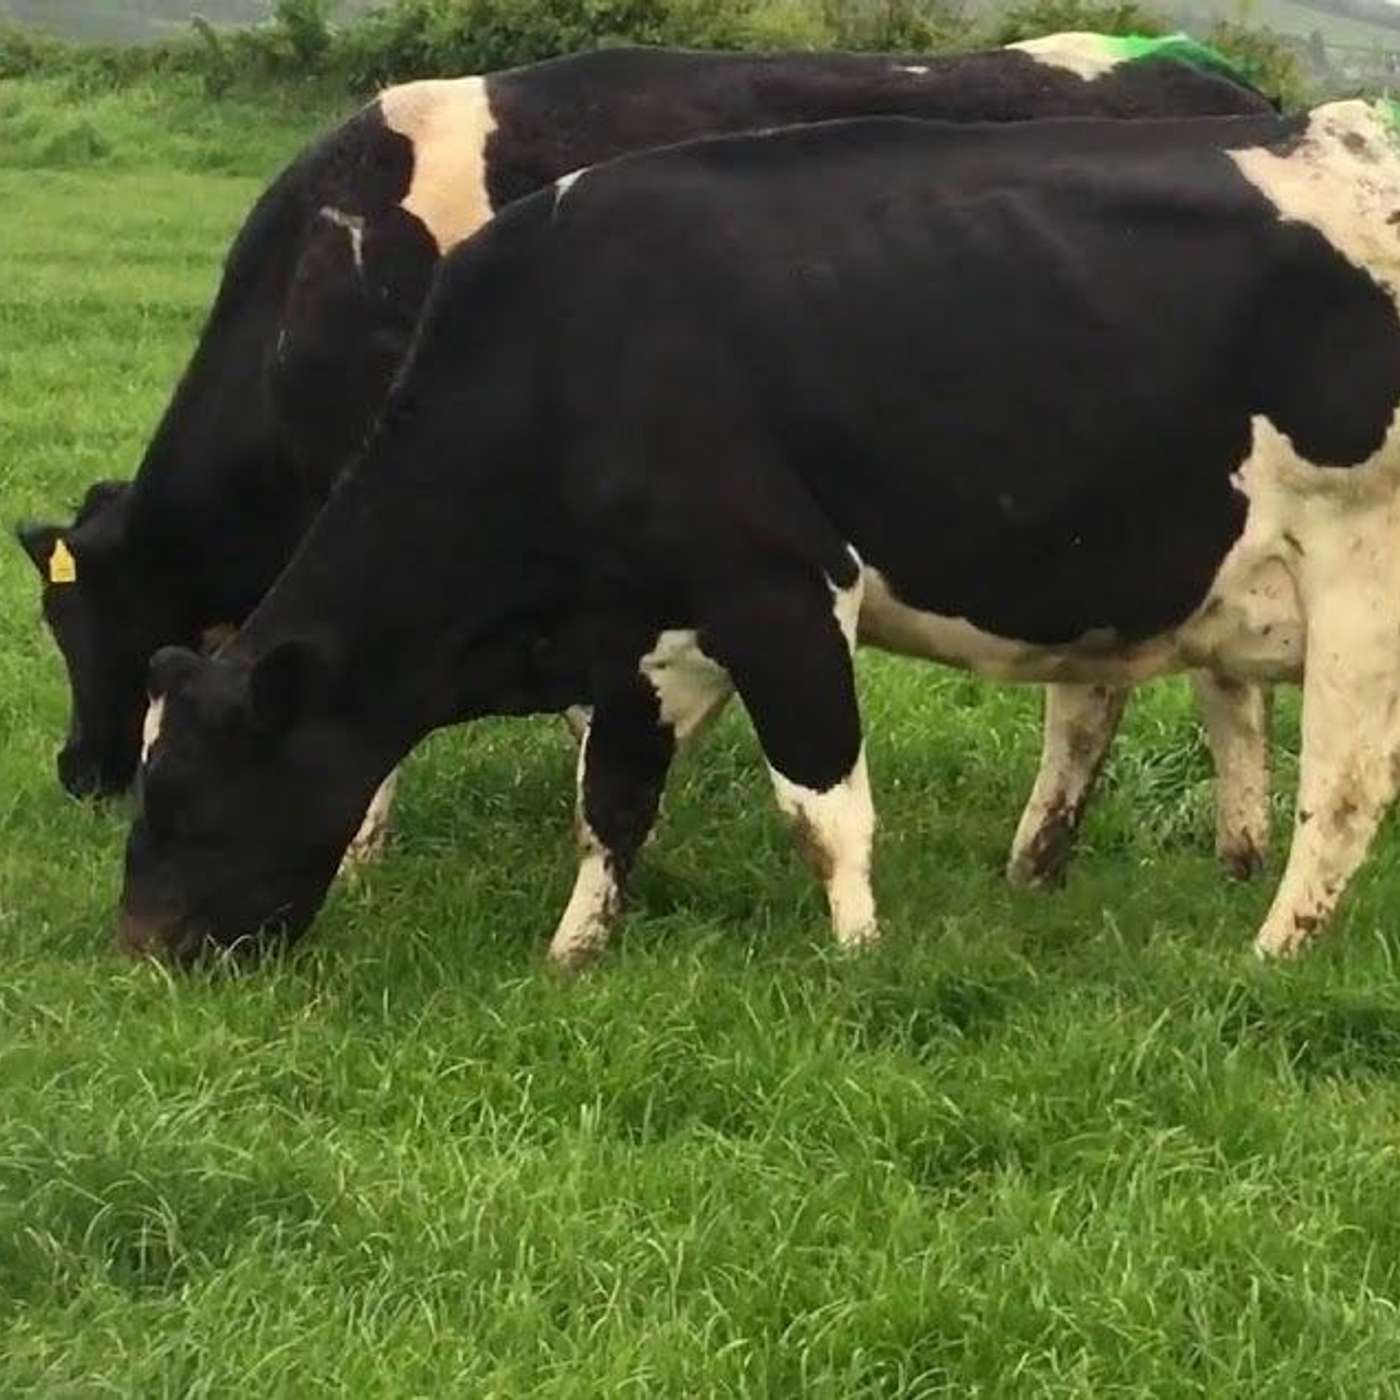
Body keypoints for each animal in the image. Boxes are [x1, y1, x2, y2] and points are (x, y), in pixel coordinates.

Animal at [14, 34, 1274, 871]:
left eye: (80, 617)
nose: (77, 769)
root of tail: (1219, 85)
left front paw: (368, 844)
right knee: (1206, 678)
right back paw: (1214, 850)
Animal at [116, 100, 1400, 972]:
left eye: (184, 789)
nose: (141, 945)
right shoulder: (650, 630)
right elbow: (611, 799)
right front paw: (572, 953)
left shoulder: (778, 588)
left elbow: (821, 805)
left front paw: (857, 958)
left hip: (1356, 582)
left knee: (1341, 788)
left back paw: (1270, 950)